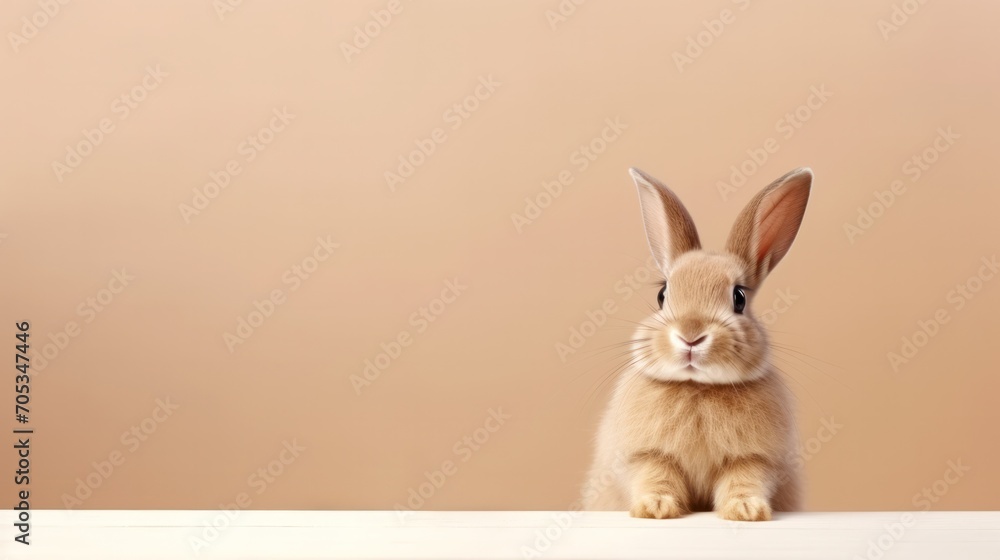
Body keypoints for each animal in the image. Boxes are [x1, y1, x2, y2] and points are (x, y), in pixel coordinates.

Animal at [582, 167, 812, 521]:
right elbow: (656, 476)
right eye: (662, 294)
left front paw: (747, 510)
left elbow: (744, 480)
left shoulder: (753, 459)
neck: (697, 388)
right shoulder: (646, 455)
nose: (691, 335)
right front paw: (655, 508)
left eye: (739, 298)